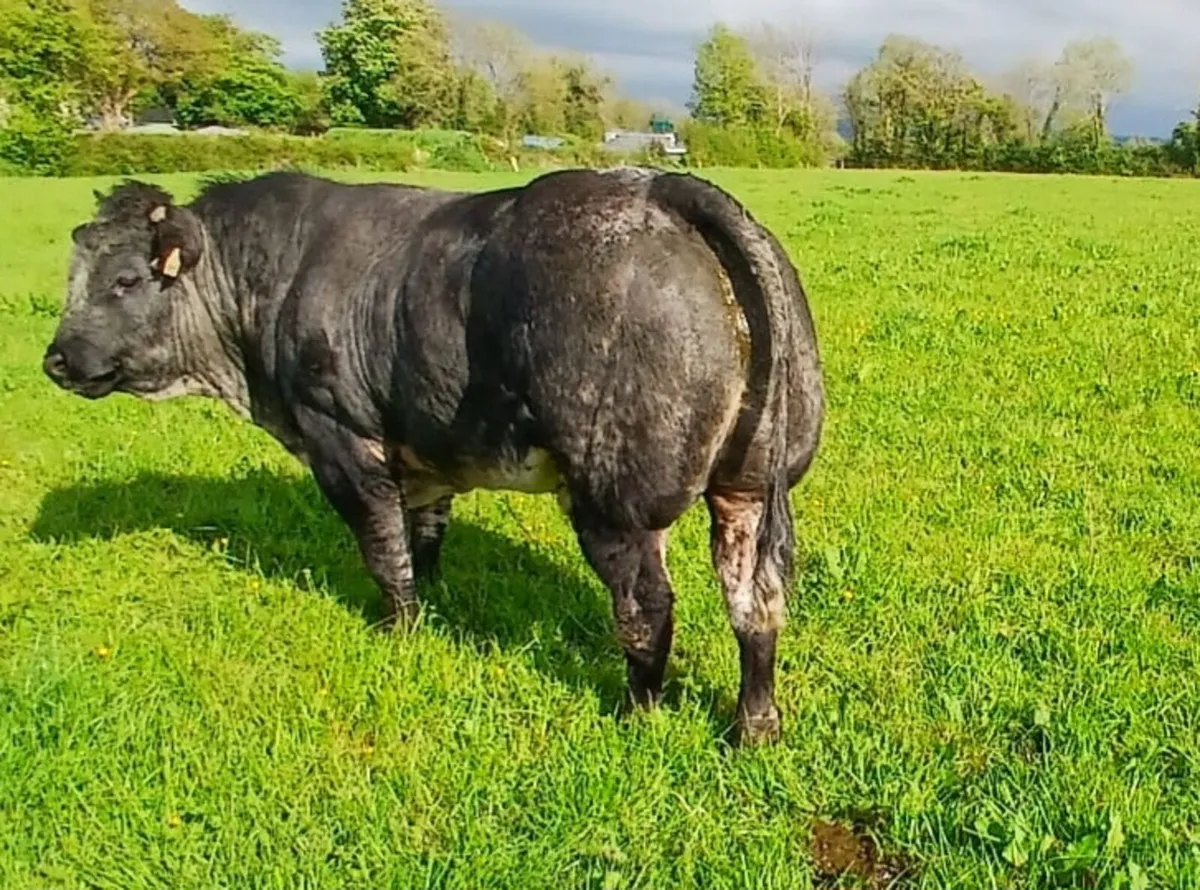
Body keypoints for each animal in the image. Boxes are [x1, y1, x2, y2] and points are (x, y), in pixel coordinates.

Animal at [42, 167, 825, 745]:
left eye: (125, 280)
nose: (56, 359)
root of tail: (660, 187)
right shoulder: (423, 450)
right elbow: (425, 534)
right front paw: (437, 598)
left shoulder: (341, 439)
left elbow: (383, 550)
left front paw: (400, 629)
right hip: (749, 487)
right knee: (756, 601)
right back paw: (755, 727)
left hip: (614, 499)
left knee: (647, 609)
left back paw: (637, 714)